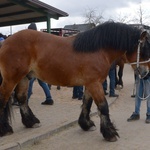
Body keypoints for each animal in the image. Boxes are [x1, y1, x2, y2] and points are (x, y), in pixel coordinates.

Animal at [0, 21, 150, 142]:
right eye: (144, 51)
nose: (146, 74)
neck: (98, 50)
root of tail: (6, 42)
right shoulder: (94, 84)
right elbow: (103, 106)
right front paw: (109, 133)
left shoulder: (91, 83)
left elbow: (87, 103)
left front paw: (86, 124)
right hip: (11, 79)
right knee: (4, 98)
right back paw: (5, 128)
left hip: (25, 77)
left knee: (22, 98)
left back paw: (31, 122)